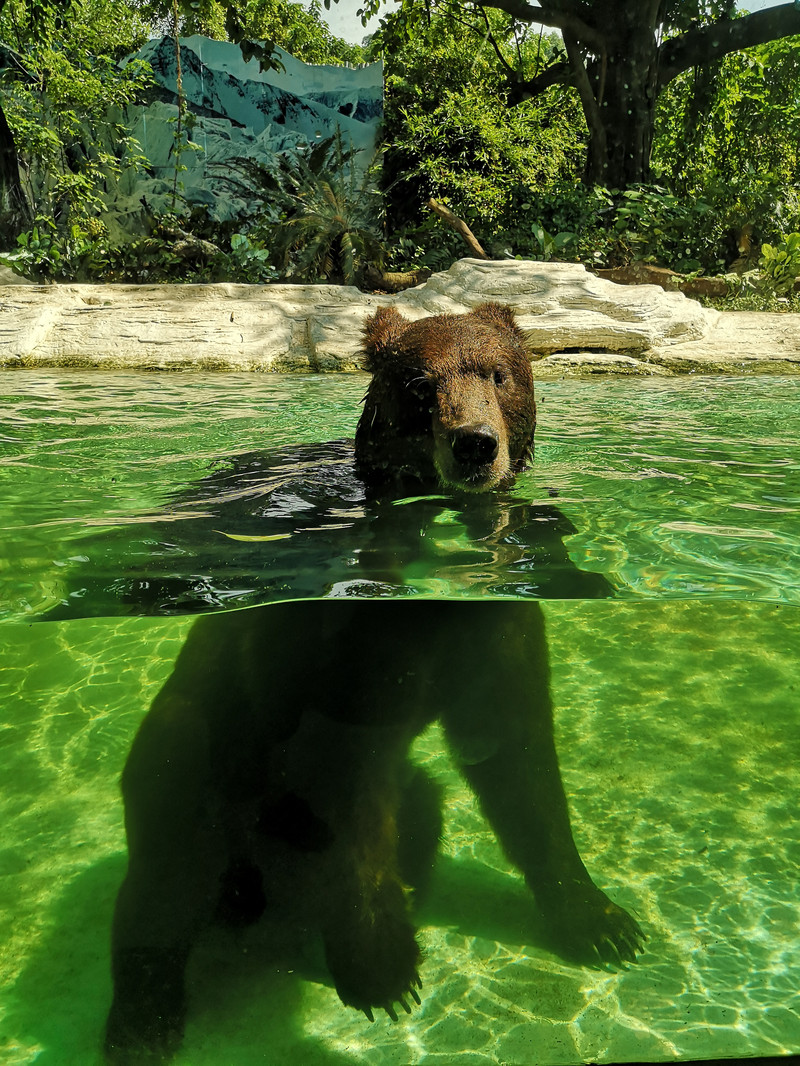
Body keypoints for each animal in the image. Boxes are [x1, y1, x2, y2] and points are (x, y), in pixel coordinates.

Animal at [106, 304, 644, 1061]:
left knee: (421, 806)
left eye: (497, 373)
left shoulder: (492, 638)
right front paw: (384, 964)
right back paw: (144, 1020)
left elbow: (517, 759)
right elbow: (348, 786)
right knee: (166, 879)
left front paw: (601, 922)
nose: (475, 445)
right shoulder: (343, 653)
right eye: (421, 383)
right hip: (192, 754)